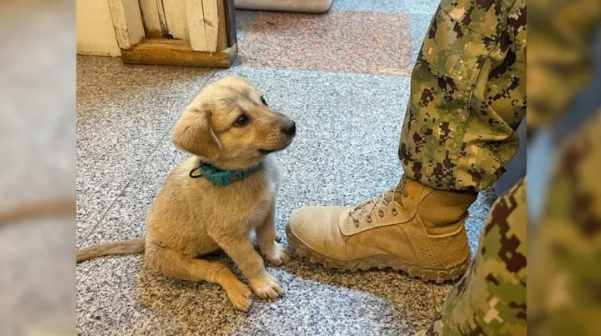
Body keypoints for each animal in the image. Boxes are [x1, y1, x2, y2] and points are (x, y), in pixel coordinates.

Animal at [76, 75, 296, 312]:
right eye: (241, 120)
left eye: (263, 100)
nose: (292, 126)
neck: (242, 175)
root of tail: (146, 239)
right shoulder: (229, 235)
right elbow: (251, 260)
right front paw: (263, 283)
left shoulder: (268, 207)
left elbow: (266, 235)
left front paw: (272, 252)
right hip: (172, 261)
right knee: (217, 268)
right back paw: (237, 290)